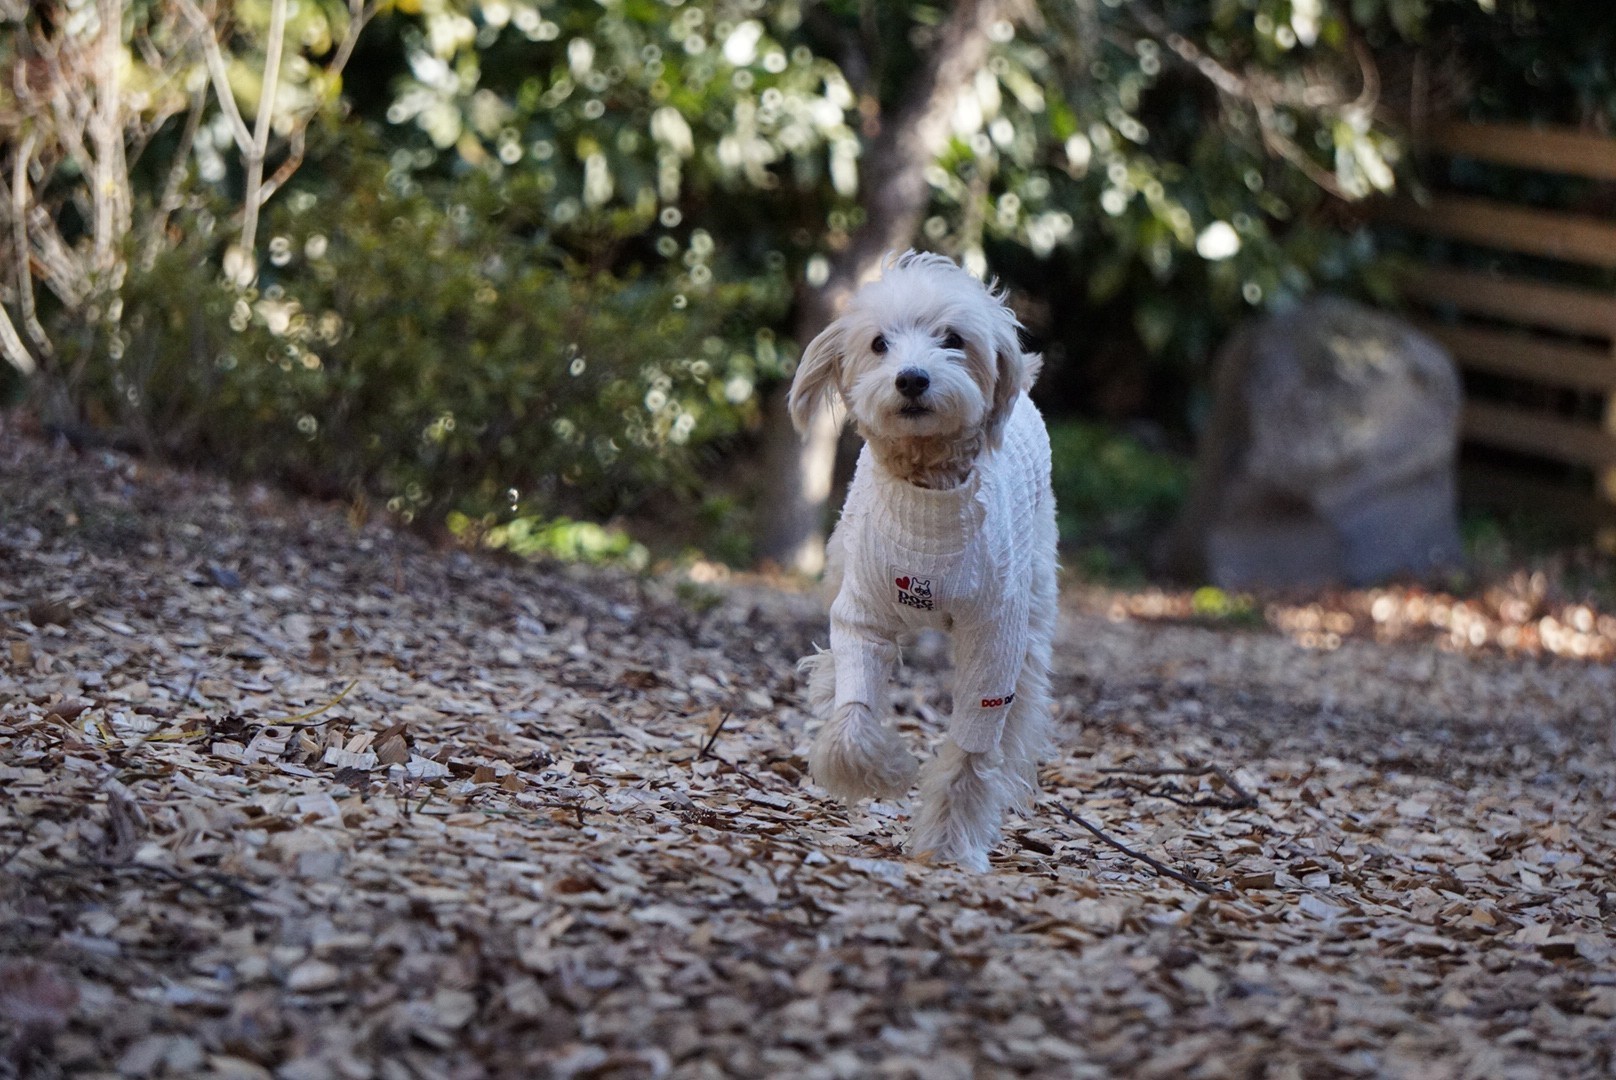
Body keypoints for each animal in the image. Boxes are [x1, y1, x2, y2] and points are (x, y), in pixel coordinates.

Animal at [791, 250, 1060, 866]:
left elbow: (972, 751)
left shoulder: (996, 637)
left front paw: (949, 845)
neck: (928, 485)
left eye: (953, 339)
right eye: (878, 344)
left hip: (1034, 597)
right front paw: (889, 772)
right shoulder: (862, 613)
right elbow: (853, 713)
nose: (912, 377)